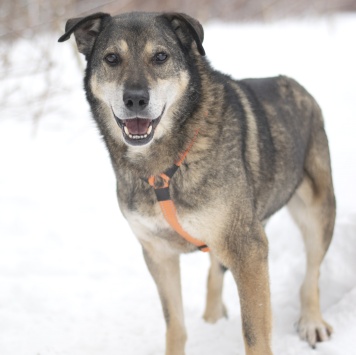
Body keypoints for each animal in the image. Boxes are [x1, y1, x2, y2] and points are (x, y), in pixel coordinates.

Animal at [59, 11, 336, 355]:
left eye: (160, 57)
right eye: (112, 58)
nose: (135, 99)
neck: (163, 168)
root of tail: (293, 84)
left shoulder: (248, 249)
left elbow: (255, 333)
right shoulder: (158, 254)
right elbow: (175, 326)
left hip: (317, 211)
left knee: (312, 272)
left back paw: (312, 321)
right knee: (216, 271)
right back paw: (212, 318)